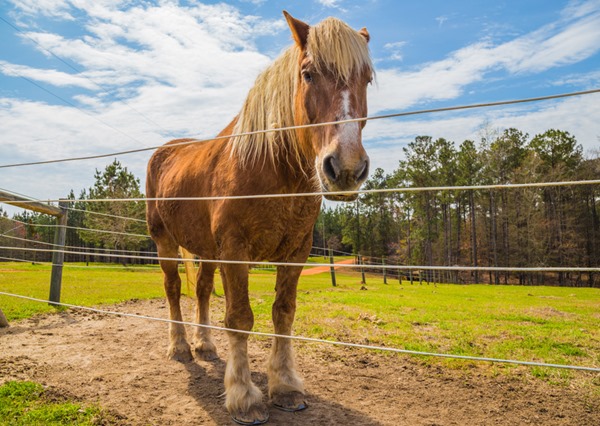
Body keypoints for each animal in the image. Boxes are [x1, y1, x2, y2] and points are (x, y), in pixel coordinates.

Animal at [145, 11, 372, 424]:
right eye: (308, 73)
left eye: (366, 79)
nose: (346, 168)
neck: (272, 170)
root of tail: (166, 150)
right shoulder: (236, 252)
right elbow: (240, 318)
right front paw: (244, 396)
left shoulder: (295, 253)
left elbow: (283, 314)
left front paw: (285, 387)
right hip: (164, 242)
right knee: (172, 288)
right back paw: (181, 347)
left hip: (207, 250)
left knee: (201, 290)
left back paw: (205, 344)